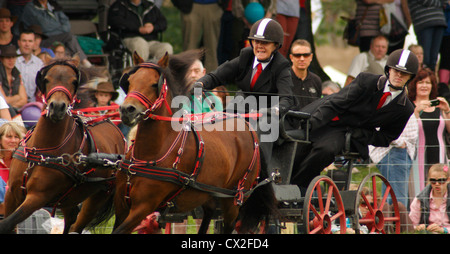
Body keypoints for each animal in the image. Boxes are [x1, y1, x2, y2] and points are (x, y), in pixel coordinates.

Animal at [0, 56, 126, 233]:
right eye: (46, 79)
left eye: (73, 81)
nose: (58, 107)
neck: (41, 149)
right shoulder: (12, 193)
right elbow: (9, 225)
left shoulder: (38, 196)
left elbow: (6, 223)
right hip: (69, 199)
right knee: (71, 219)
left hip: (99, 196)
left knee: (78, 225)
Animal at [112, 51, 278, 234]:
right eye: (129, 81)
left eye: (155, 84)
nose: (127, 110)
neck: (151, 151)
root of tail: (247, 126)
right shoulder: (121, 206)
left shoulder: (143, 207)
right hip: (207, 192)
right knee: (209, 213)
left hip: (234, 197)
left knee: (229, 224)